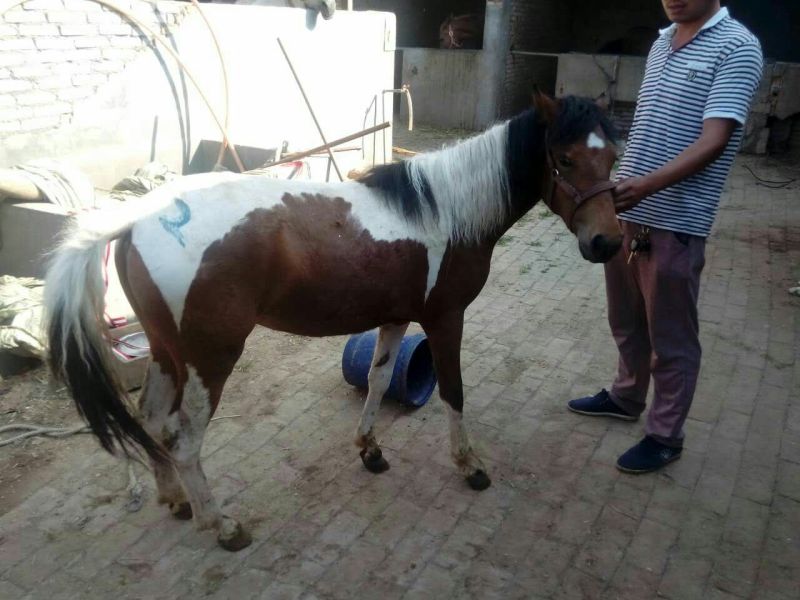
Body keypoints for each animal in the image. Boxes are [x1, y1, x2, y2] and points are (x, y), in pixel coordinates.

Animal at [45, 91, 621, 551]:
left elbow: (378, 381)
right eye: (564, 159)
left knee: (151, 420)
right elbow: (453, 391)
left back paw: (176, 499)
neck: (445, 210)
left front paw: (370, 451)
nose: (607, 243)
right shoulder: (445, 320)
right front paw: (469, 466)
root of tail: (133, 221)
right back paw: (222, 526)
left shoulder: (395, 320)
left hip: (168, 353)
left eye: (612, 156)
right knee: (183, 440)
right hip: (210, 360)